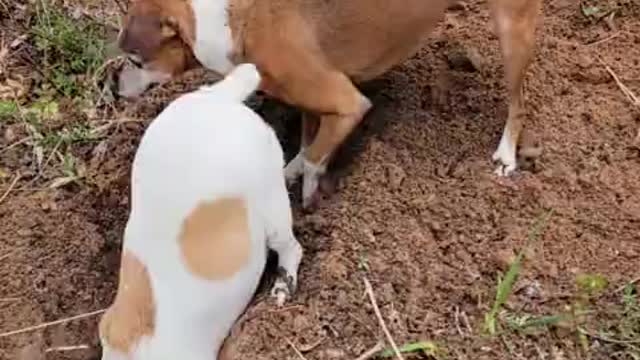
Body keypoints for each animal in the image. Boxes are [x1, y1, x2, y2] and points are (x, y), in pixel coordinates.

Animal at [115, 0, 540, 208]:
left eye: (135, 61)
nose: (113, 86)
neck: (231, 21)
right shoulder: (307, 99)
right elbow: (307, 141)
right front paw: (291, 169)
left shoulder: (348, 102)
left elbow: (317, 156)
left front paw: (308, 195)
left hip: (512, 31)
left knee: (519, 103)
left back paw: (506, 155)